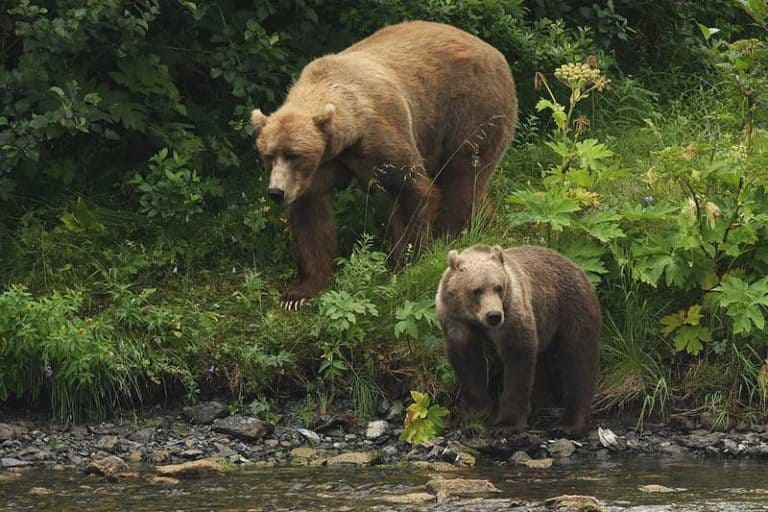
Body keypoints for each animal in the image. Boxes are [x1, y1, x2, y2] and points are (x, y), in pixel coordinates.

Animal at [250, 21, 517, 308]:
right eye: (268, 154)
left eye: (294, 154)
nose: (276, 192)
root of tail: (496, 52)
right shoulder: (321, 168)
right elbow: (312, 220)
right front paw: (300, 292)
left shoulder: (379, 135)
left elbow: (411, 190)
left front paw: (401, 265)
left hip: (472, 109)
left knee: (463, 177)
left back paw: (457, 237)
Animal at [435, 244, 602, 438]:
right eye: (476, 290)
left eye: (499, 287)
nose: (493, 315)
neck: (475, 321)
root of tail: (576, 266)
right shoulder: (455, 321)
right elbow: (468, 362)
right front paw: (476, 414)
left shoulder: (512, 313)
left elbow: (518, 360)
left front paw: (505, 424)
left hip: (571, 310)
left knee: (578, 361)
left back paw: (568, 424)